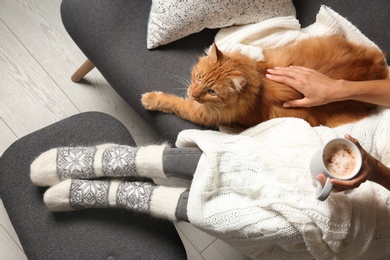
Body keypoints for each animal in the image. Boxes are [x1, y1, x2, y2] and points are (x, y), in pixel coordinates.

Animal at [140, 35, 386, 130]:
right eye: (199, 77)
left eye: (211, 92)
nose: (193, 93)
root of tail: (376, 68)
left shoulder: (201, 113)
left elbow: (175, 103)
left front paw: (151, 99)